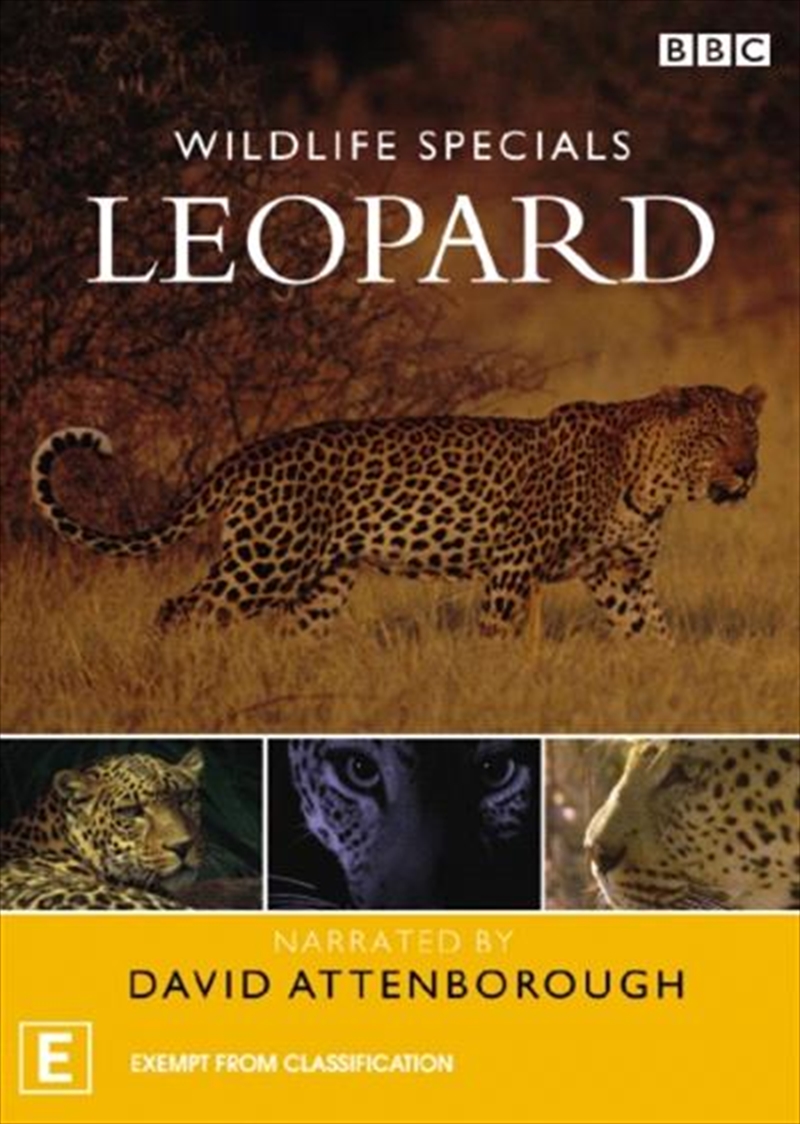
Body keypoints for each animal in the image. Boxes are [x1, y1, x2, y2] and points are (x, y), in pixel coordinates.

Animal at [31, 383, 765, 639]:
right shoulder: (511, 567)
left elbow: (654, 636)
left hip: (322, 582)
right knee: (181, 609)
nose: (748, 470)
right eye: (713, 437)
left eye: (750, 434)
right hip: (264, 563)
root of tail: (249, 453)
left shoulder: (620, 577)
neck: (651, 481)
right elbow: (494, 640)